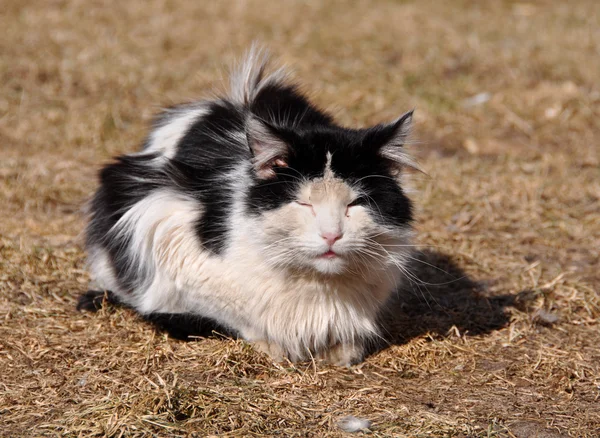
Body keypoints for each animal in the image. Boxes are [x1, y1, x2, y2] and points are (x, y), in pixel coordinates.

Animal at [78, 47, 418, 366]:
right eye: (303, 202)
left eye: (356, 203)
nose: (331, 235)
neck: (319, 288)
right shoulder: (163, 220)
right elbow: (234, 314)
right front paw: (275, 346)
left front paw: (341, 350)